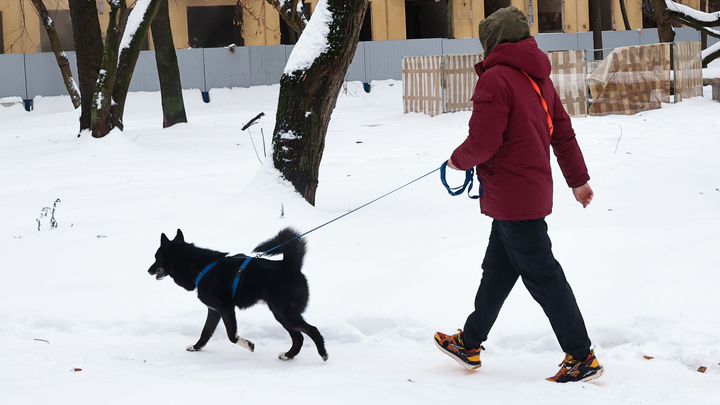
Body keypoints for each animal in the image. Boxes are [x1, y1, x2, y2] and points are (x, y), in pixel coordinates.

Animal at [148, 226, 328, 362]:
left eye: (156, 257)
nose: (148, 270)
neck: (200, 267)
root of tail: (289, 265)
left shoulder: (226, 308)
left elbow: (231, 336)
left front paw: (249, 345)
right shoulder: (214, 310)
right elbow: (205, 332)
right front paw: (196, 347)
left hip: (284, 314)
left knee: (312, 330)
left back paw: (323, 354)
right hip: (283, 315)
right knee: (299, 337)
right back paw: (288, 355)